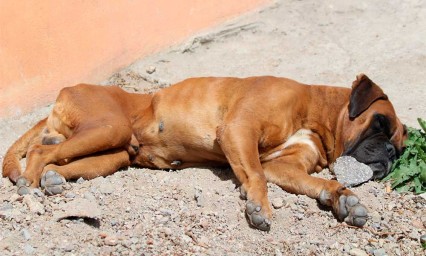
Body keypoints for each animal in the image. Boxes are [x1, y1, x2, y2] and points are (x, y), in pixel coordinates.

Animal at [1, 73, 406, 230]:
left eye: (401, 149)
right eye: (380, 123)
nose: (389, 153)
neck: (316, 113)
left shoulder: (285, 168)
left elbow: (315, 183)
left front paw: (343, 199)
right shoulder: (239, 129)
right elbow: (255, 174)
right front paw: (257, 205)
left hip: (113, 152)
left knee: (57, 159)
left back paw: (53, 180)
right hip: (108, 127)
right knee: (36, 154)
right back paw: (29, 187)